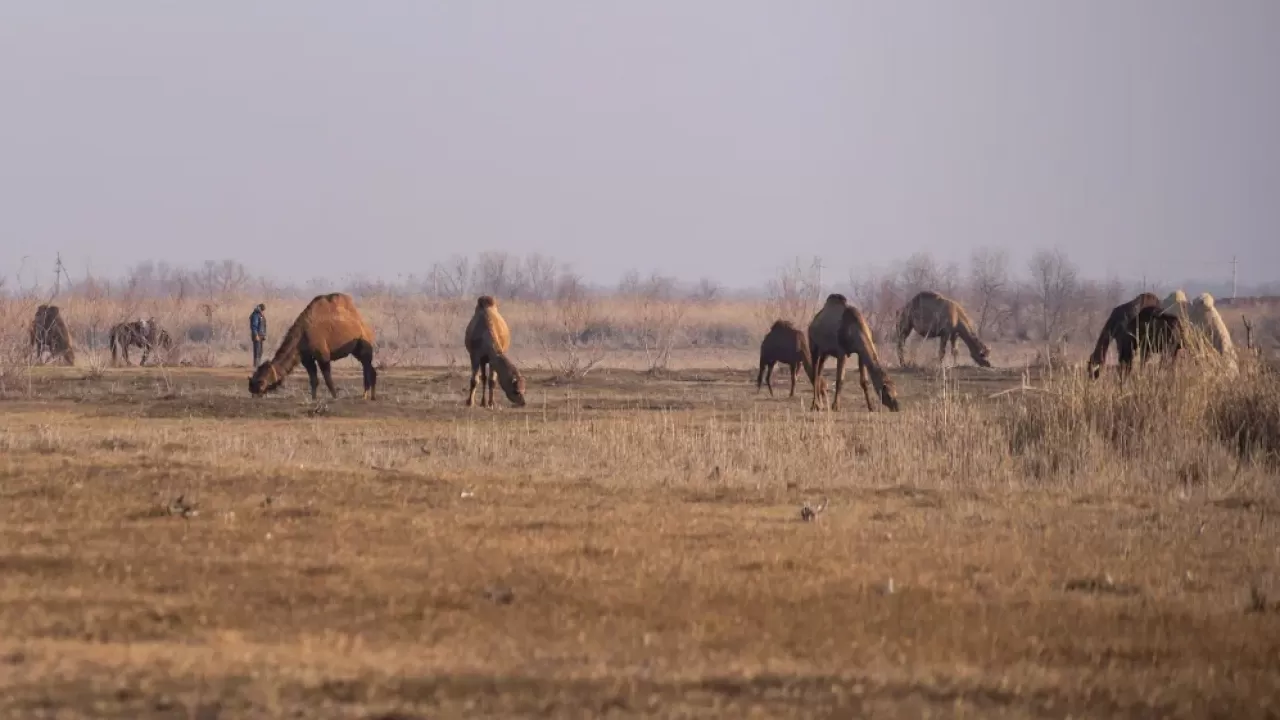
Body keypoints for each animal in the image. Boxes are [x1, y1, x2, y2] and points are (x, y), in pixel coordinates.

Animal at [245, 293, 373, 404]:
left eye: (261, 384)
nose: (253, 395)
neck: (303, 334)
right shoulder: (306, 358)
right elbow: (313, 380)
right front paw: (313, 398)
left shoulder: (323, 355)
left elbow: (327, 379)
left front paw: (335, 397)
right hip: (356, 350)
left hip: (364, 343)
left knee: (367, 366)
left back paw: (366, 395)